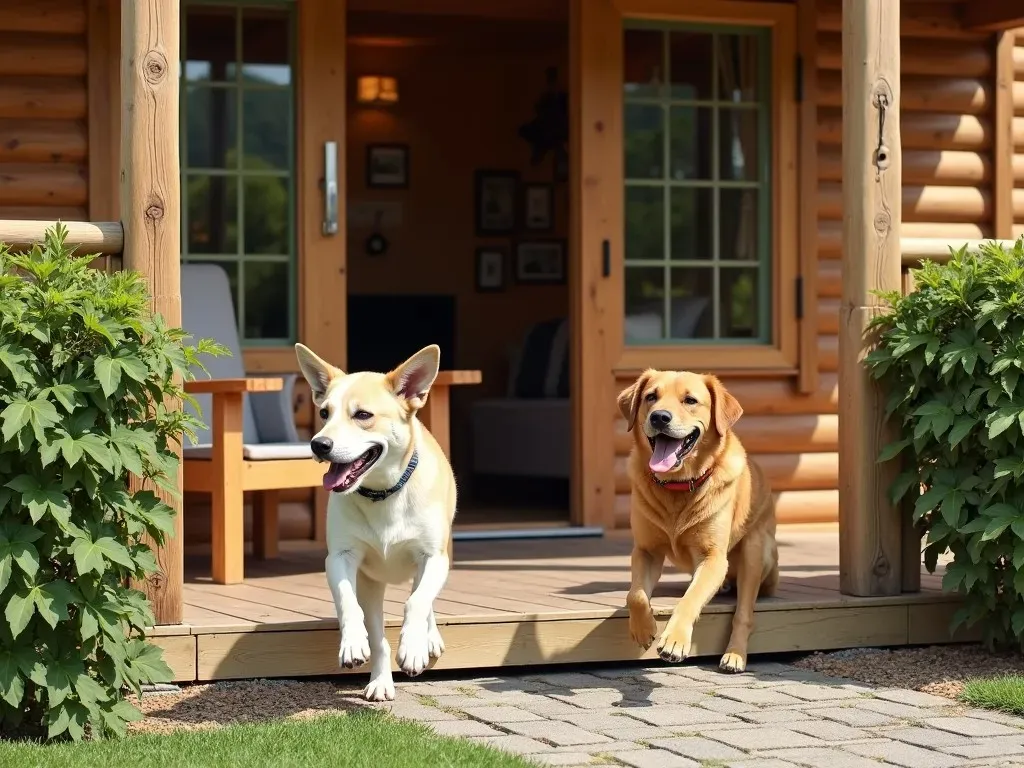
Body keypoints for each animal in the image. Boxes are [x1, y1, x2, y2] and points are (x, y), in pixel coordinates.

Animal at [296, 342, 456, 704]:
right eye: (324, 413)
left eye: (363, 416)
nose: (318, 444)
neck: (384, 494)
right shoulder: (340, 558)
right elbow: (349, 604)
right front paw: (355, 643)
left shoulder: (433, 557)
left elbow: (417, 602)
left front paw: (414, 648)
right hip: (372, 584)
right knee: (376, 625)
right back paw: (381, 678)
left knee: (424, 598)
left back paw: (429, 637)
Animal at [614, 370, 774, 671]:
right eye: (651, 396)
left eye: (690, 400)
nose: (659, 417)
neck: (677, 486)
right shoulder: (645, 550)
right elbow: (635, 595)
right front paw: (643, 628)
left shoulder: (713, 558)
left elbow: (690, 599)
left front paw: (675, 640)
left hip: (755, 551)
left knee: (744, 613)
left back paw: (735, 654)